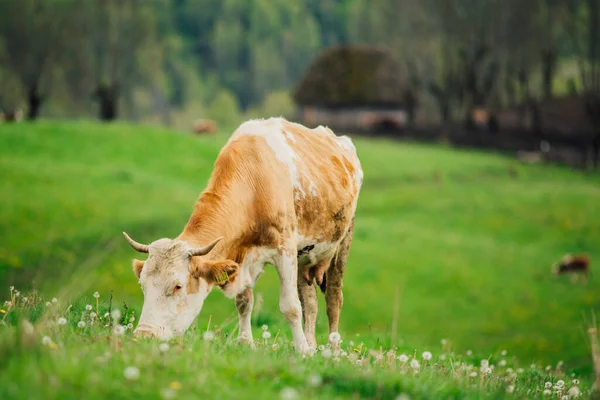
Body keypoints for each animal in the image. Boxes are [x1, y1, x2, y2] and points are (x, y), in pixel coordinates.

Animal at [123, 117, 360, 352]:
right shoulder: (241, 258)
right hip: (306, 256)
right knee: (310, 303)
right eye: (142, 285)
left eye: (177, 286)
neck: (255, 183)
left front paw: (301, 351)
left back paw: (333, 349)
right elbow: (244, 302)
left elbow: (291, 307)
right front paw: (246, 342)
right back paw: (312, 346)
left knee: (333, 300)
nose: (145, 335)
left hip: (343, 242)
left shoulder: (285, 248)